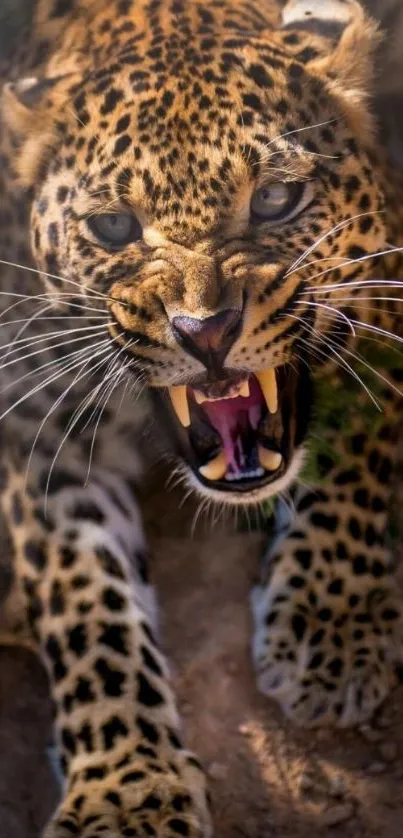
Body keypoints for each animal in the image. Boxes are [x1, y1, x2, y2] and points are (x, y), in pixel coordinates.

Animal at [2, 0, 403, 836]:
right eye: (113, 228)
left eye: (276, 199)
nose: (205, 331)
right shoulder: (39, 424)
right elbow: (83, 600)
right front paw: (125, 787)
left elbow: (355, 454)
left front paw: (330, 628)